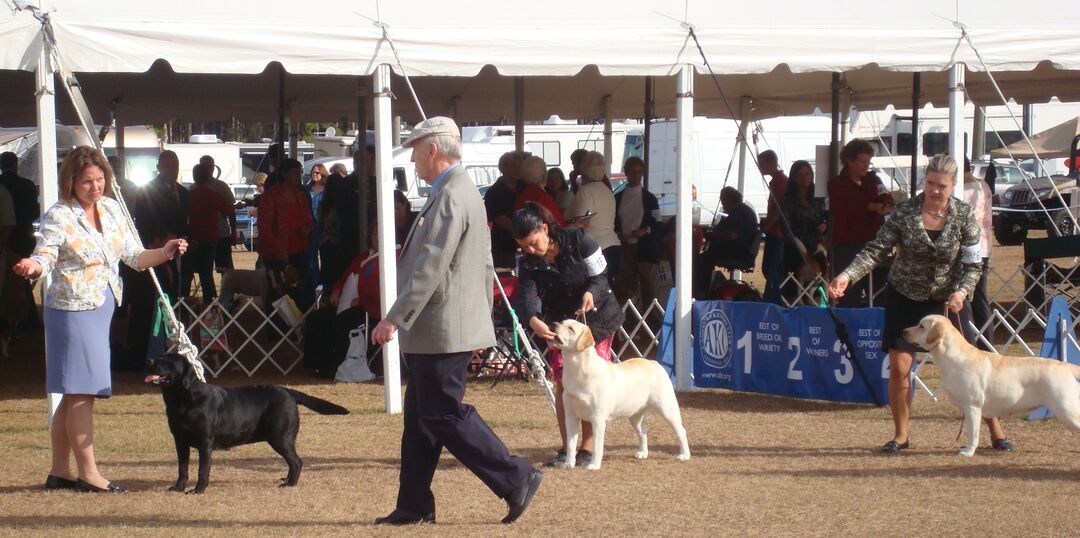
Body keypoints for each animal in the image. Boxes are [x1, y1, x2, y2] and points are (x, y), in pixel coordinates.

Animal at [145, 354, 347, 494]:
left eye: (168, 361)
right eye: (160, 355)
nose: (150, 360)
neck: (183, 400)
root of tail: (288, 391)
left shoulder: (205, 443)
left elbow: (202, 470)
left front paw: (198, 490)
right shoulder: (180, 441)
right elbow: (182, 468)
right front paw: (178, 487)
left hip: (280, 437)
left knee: (297, 461)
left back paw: (290, 484)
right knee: (292, 461)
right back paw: (286, 480)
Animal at [548, 321, 691, 468]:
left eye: (571, 329)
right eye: (562, 322)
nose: (553, 324)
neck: (577, 371)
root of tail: (654, 363)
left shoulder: (597, 419)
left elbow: (597, 446)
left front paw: (594, 465)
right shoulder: (570, 416)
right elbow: (571, 444)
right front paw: (568, 464)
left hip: (667, 408)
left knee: (682, 431)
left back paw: (684, 455)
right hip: (635, 415)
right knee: (643, 431)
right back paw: (642, 453)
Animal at [898, 313, 1080, 455]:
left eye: (921, 326)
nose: (904, 331)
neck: (953, 358)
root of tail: (1065, 366)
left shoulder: (972, 406)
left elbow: (973, 433)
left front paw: (968, 452)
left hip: (1066, 409)